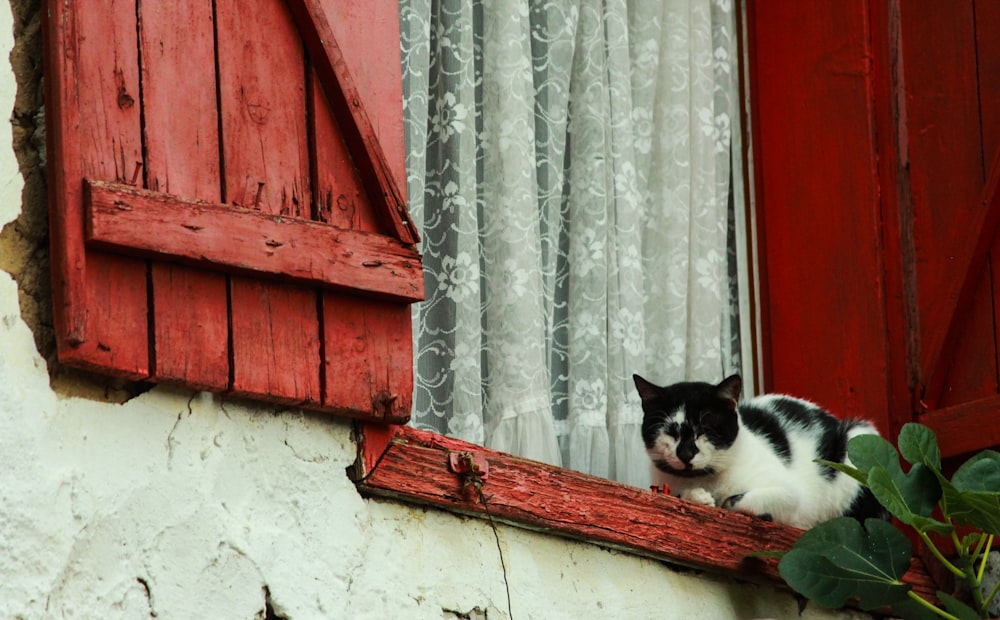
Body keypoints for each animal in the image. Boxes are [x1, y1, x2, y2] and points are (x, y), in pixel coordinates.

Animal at [636, 372, 888, 528]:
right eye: (670, 432)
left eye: (704, 430)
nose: (686, 454)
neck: (708, 479)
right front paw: (698, 497)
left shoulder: (789, 492)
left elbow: (740, 500)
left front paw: (727, 503)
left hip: (857, 438)